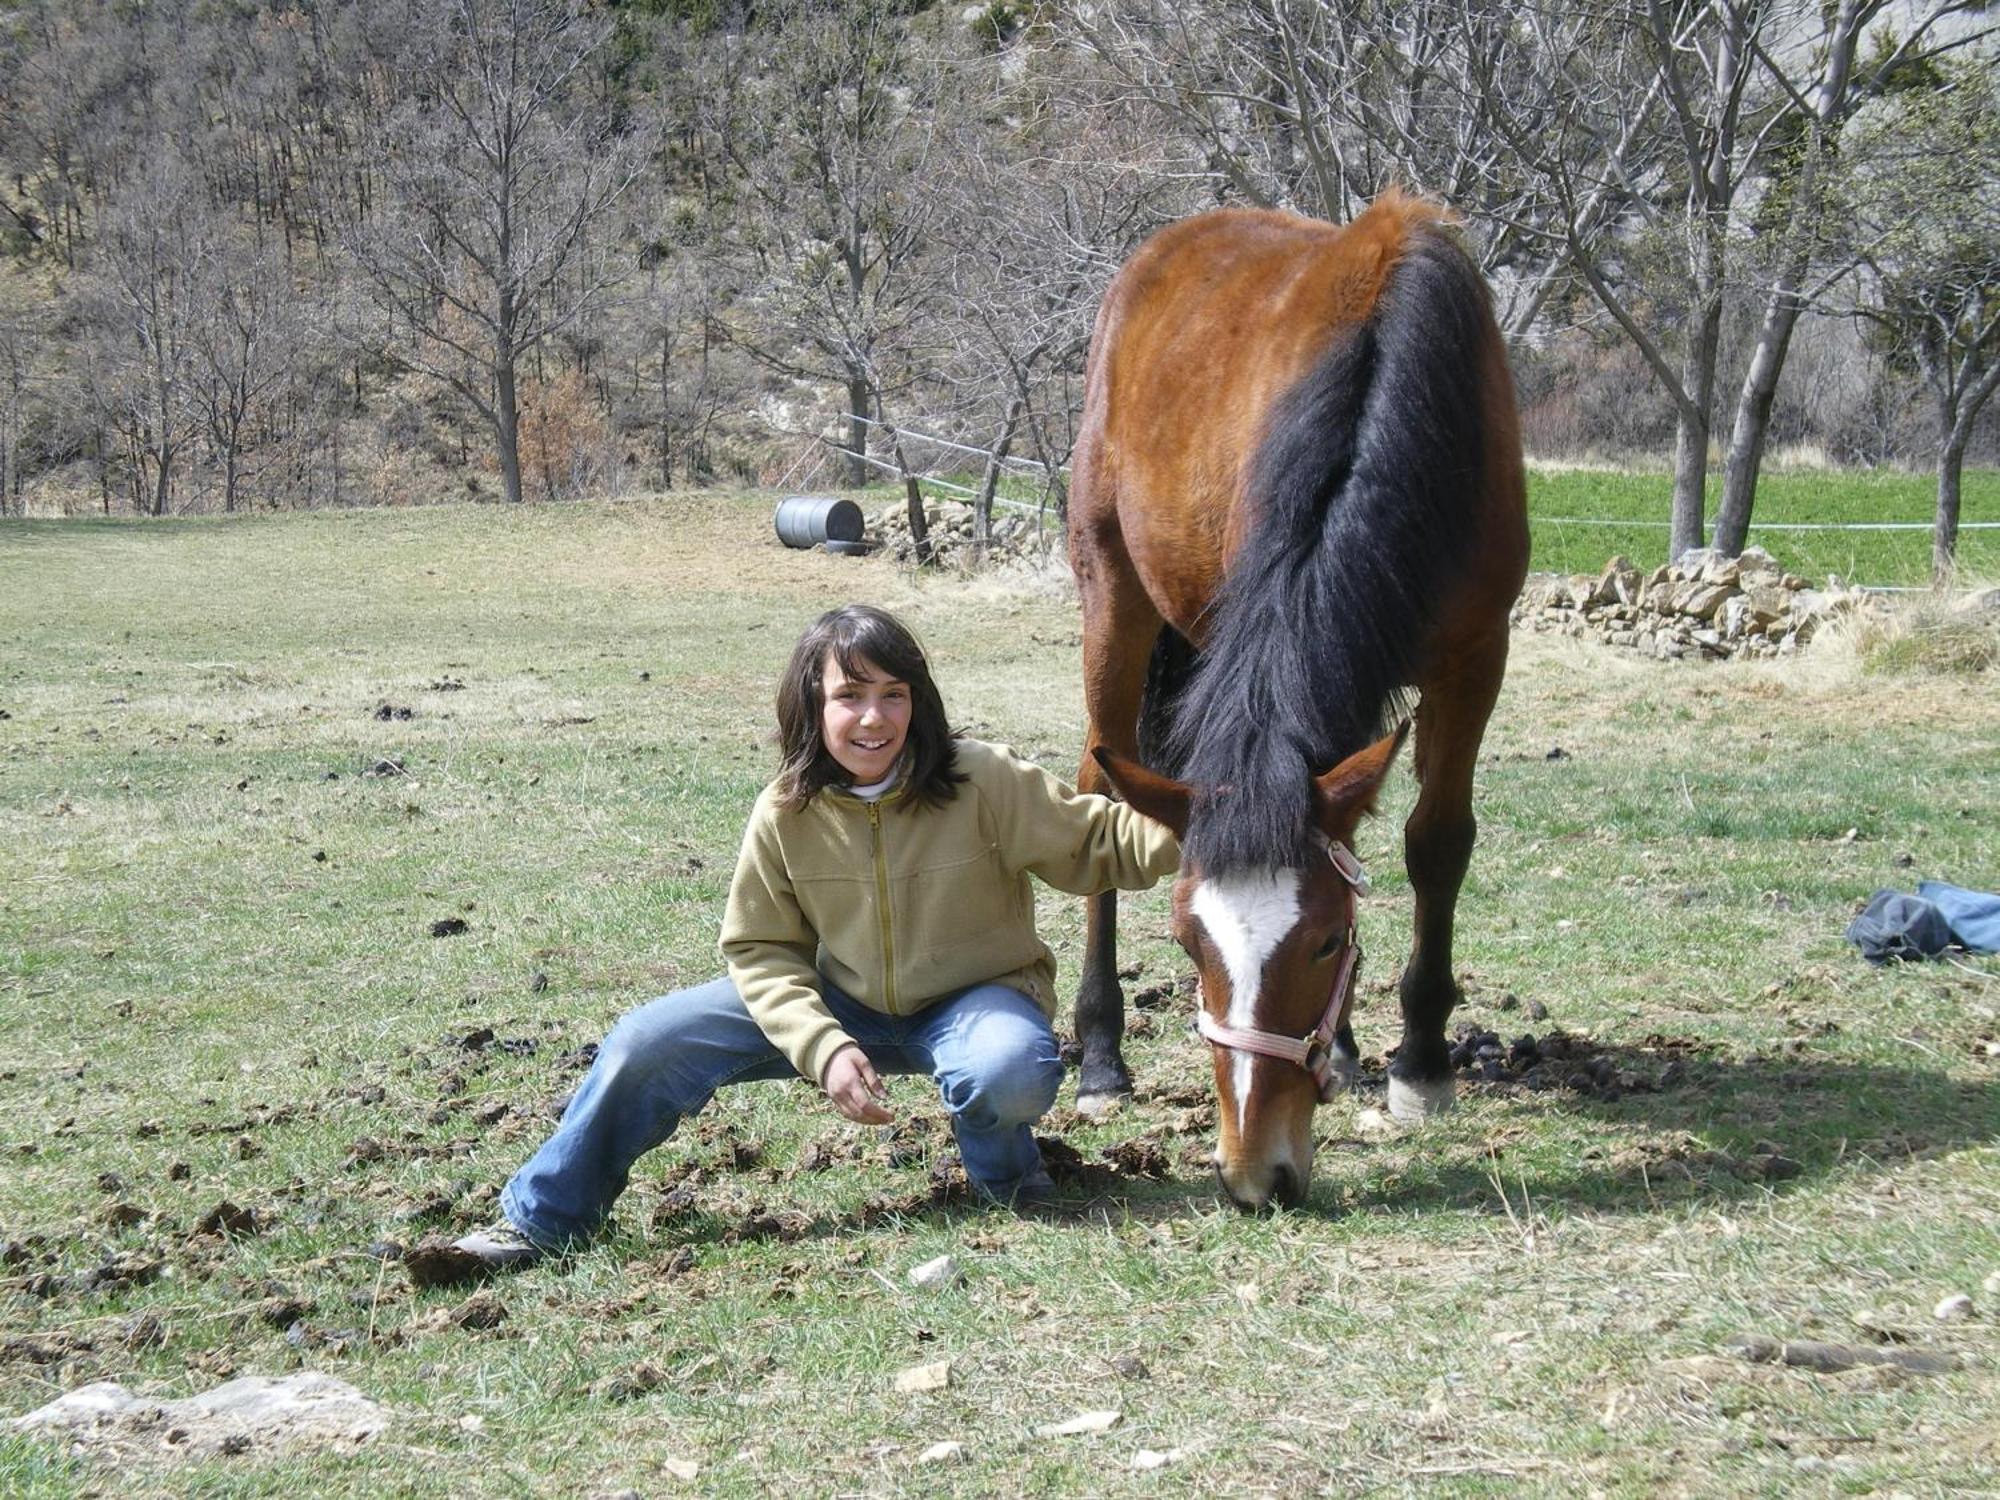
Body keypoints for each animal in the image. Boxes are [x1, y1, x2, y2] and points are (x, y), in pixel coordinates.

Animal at [1072, 194, 1520, 1216]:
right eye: (1189, 943)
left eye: (1325, 944)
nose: (1254, 1175)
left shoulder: (1476, 658)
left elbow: (1434, 842)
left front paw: (1416, 1061)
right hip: (1115, 599)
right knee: (1100, 786)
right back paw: (1101, 1052)